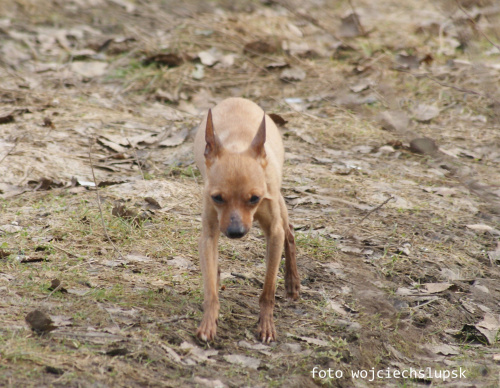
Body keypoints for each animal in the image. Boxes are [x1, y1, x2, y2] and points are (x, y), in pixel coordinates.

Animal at [193, 97, 298, 342]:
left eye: (254, 199)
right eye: (217, 198)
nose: (236, 232)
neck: (236, 146)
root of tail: (237, 99)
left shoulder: (274, 232)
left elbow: (268, 290)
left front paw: (266, 324)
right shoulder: (209, 237)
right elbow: (210, 288)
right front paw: (209, 322)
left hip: (279, 204)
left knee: (289, 231)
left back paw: (292, 281)